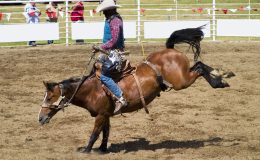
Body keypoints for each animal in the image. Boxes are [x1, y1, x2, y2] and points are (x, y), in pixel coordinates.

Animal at [39, 26, 230, 154]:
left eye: (49, 97)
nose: (40, 118)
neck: (92, 89)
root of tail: (169, 50)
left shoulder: (100, 115)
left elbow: (95, 133)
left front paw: (86, 150)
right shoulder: (106, 114)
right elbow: (105, 133)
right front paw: (102, 149)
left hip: (181, 81)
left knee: (199, 67)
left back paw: (221, 79)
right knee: (198, 65)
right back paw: (223, 76)